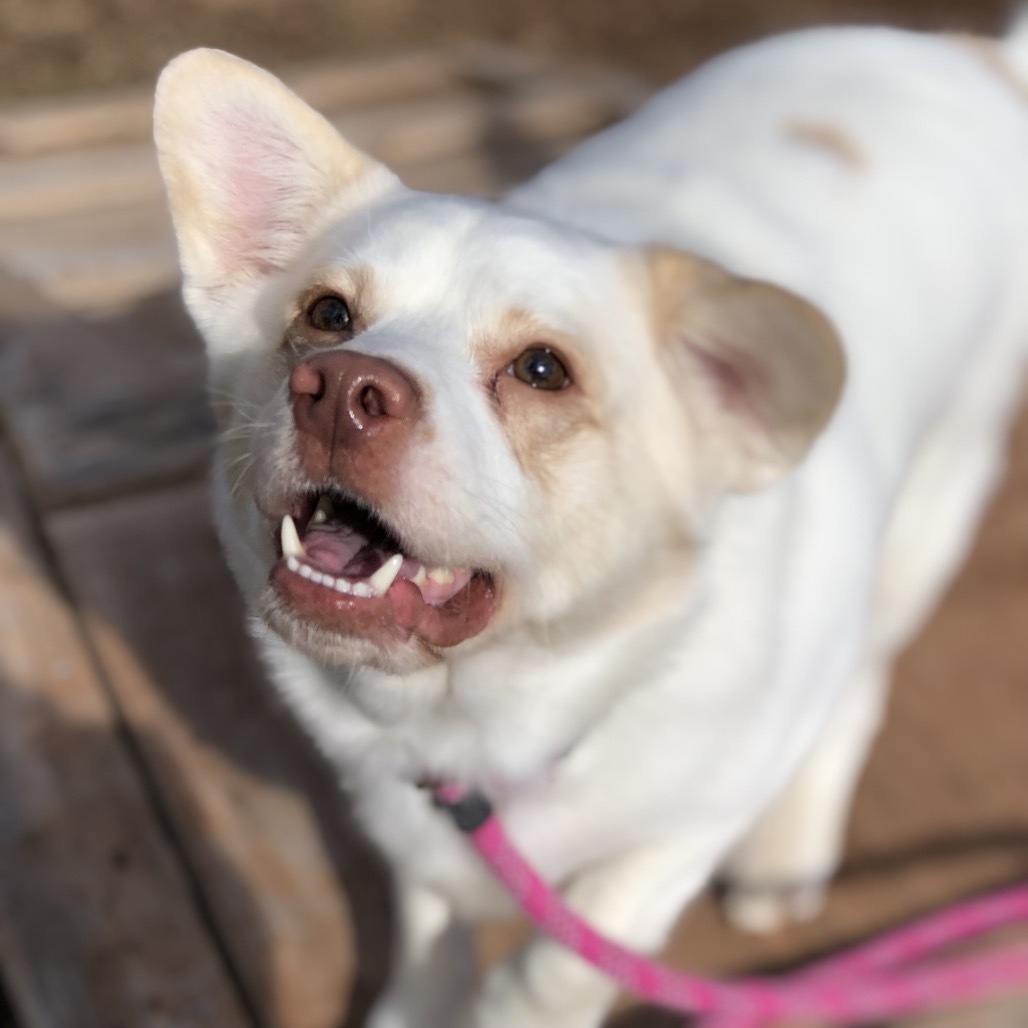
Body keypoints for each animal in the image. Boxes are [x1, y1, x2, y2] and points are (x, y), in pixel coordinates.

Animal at [156, 24, 1028, 1028]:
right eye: (328, 314)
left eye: (543, 370)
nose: (340, 388)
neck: (484, 717)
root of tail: (973, 54)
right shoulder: (405, 813)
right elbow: (429, 924)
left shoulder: (686, 828)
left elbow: (566, 959)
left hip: (925, 527)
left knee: (859, 692)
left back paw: (788, 852)